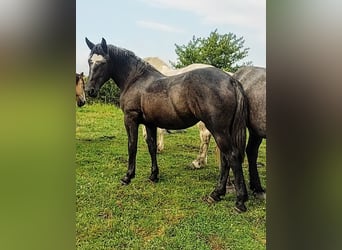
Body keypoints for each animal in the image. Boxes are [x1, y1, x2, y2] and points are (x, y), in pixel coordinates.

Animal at [85, 38, 248, 212]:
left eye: (103, 62)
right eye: (90, 61)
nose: (89, 90)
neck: (136, 79)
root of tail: (230, 79)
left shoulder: (131, 119)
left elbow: (132, 146)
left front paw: (127, 177)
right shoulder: (149, 123)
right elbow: (151, 147)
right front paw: (153, 175)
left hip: (218, 130)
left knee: (231, 156)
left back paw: (238, 201)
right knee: (225, 158)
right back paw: (217, 194)